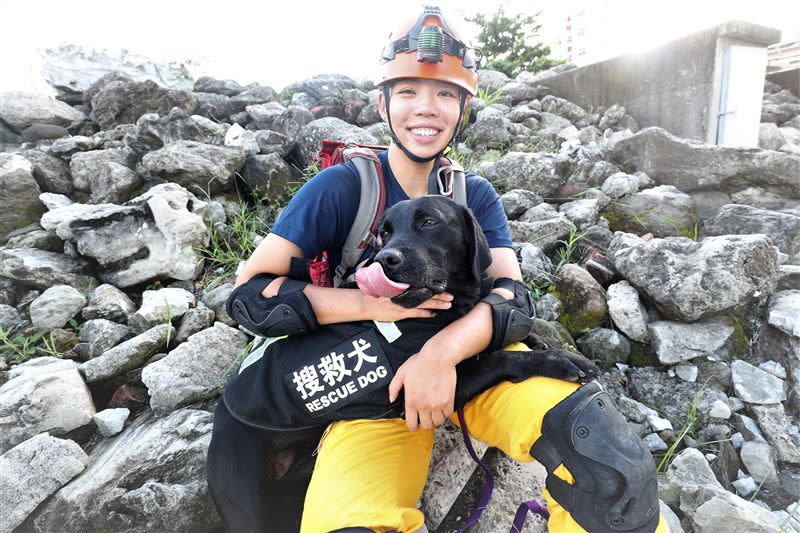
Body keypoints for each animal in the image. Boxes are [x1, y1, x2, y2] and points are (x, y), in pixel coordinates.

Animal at [209, 196, 596, 532]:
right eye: (384, 232)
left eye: (429, 222)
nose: (385, 259)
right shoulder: (424, 390)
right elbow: (502, 355)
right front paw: (561, 360)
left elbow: (506, 325)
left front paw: (545, 342)